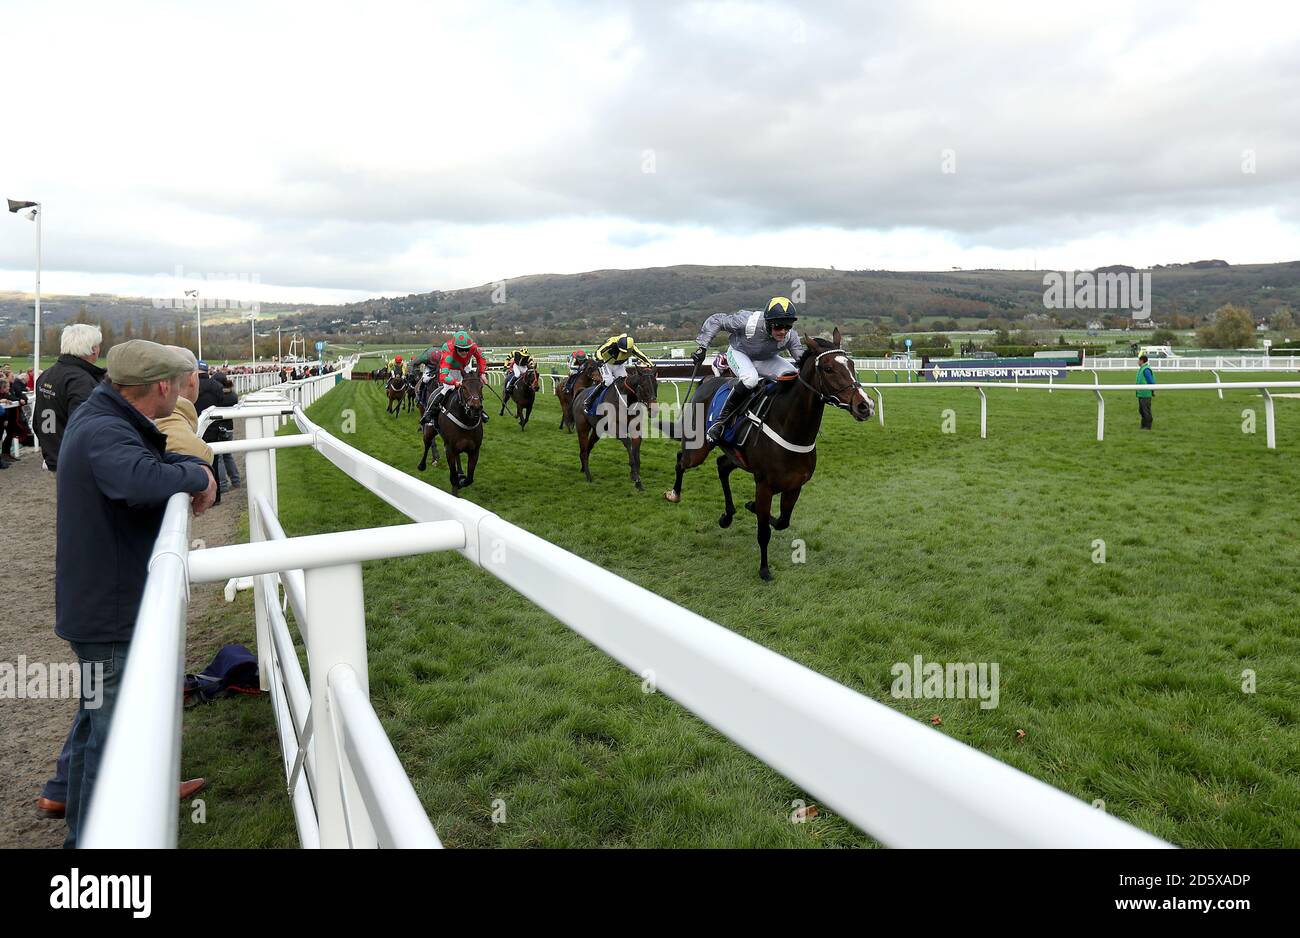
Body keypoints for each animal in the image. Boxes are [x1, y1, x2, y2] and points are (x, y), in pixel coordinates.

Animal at [421, 366, 488, 496]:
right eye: (464, 387)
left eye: (481, 387)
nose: (475, 408)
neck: (466, 420)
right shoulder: (450, 449)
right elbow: (453, 478)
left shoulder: (474, 450)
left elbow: (469, 479)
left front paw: (462, 479)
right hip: (429, 430)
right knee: (427, 443)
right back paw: (424, 464)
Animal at [660, 327, 873, 576]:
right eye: (828, 369)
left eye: (851, 364)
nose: (865, 405)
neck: (790, 428)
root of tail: (707, 380)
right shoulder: (764, 485)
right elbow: (764, 533)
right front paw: (764, 570)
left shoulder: (795, 485)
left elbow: (782, 522)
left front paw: (750, 506)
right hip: (697, 447)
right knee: (681, 460)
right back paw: (674, 494)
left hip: (735, 455)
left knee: (722, 466)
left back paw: (727, 516)